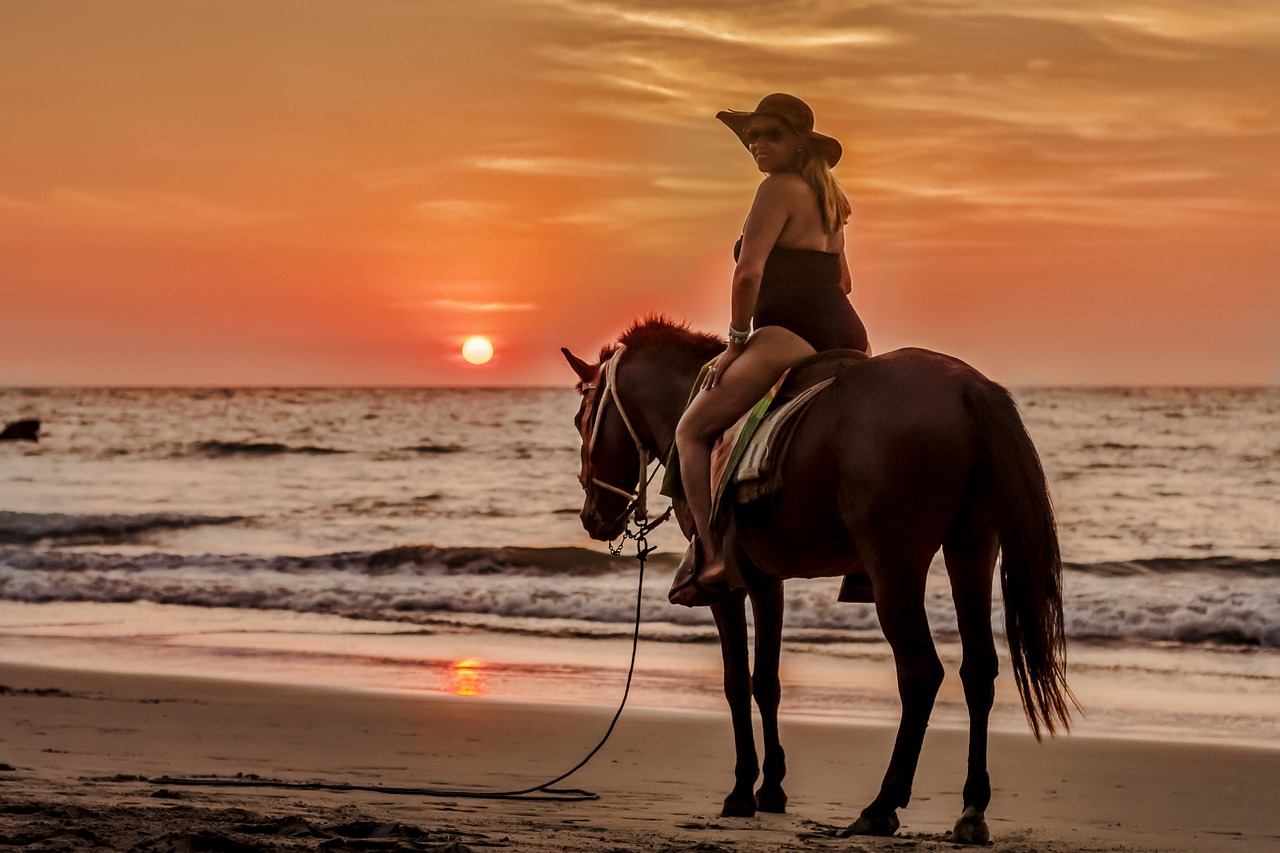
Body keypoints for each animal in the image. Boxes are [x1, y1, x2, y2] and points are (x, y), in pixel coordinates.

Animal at [565, 315, 1075, 840]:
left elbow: (735, 681)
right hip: (971, 550)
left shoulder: (727, 589)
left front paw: (741, 791)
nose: (590, 516)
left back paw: (882, 805)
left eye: (582, 419)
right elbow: (766, 682)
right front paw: (771, 789)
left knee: (920, 673)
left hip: (895, 566)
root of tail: (968, 387)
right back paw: (971, 808)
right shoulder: (766, 580)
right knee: (978, 671)